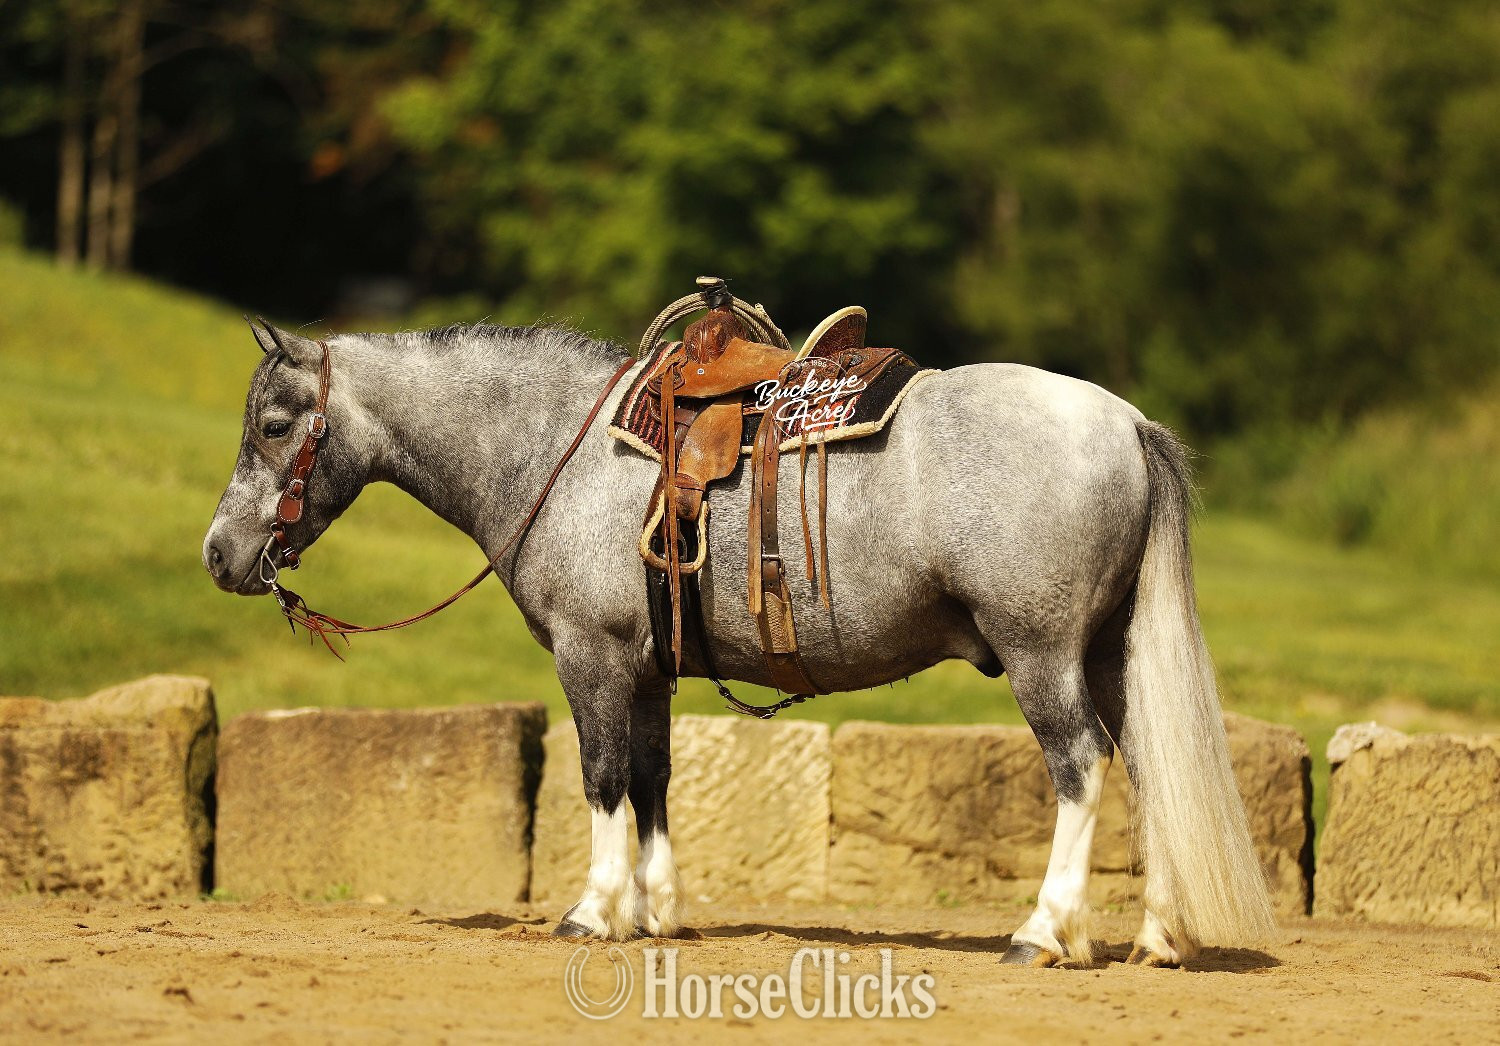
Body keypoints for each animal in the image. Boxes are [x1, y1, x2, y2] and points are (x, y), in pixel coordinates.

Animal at [202, 319, 1274, 967]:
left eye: (275, 424)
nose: (219, 554)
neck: (559, 447)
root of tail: (1125, 422)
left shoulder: (592, 656)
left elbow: (600, 778)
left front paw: (592, 911)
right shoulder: (648, 671)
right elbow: (652, 780)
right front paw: (654, 911)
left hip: (1042, 655)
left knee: (1081, 768)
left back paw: (1044, 931)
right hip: (1105, 654)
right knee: (1147, 769)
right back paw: (1158, 936)